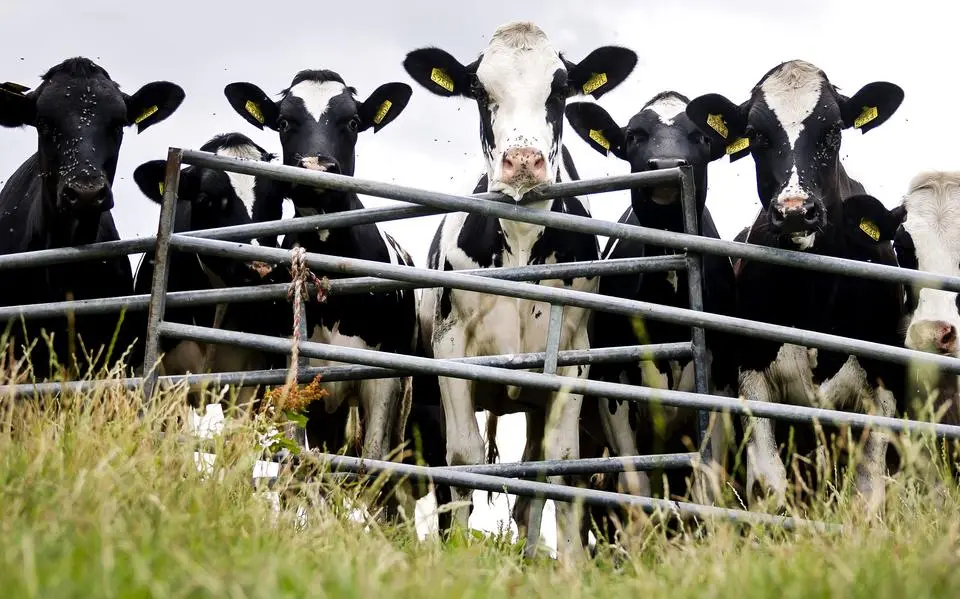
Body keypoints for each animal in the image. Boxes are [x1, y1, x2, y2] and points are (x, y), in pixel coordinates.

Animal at [401, 21, 638, 561]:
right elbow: (463, 456)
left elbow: (563, 463)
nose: (524, 161)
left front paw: (571, 562)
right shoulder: (450, 349)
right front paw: (458, 552)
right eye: (478, 90)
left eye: (561, 88)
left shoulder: (573, 356)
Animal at [562, 92, 739, 540]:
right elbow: (633, 488)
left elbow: (707, 484)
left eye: (702, 135)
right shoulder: (614, 385)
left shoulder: (720, 382)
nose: (665, 166)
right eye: (633, 135)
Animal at [685, 59, 907, 512]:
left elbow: (867, 495)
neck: (815, 298)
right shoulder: (752, 377)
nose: (794, 212)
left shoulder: (883, 389)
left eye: (834, 130)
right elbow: (768, 485)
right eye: (756, 135)